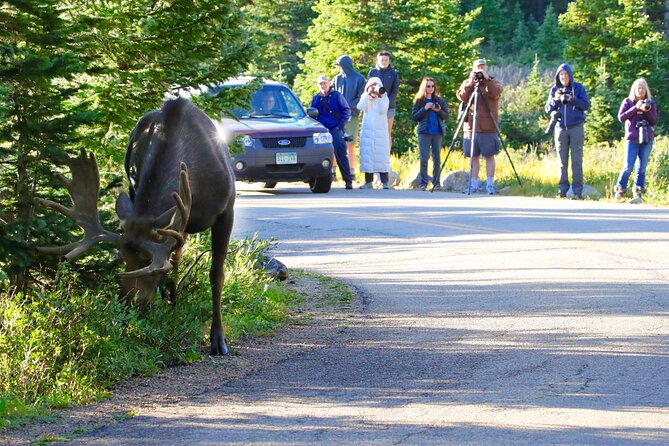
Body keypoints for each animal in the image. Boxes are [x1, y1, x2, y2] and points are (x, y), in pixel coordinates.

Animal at [36, 98, 236, 356]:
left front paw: (217, 339)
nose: (125, 304)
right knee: (177, 261)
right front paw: (166, 319)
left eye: (146, 262)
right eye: (122, 258)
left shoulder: (226, 209)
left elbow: (216, 274)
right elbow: (173, 266)